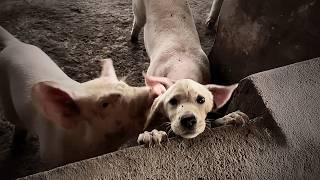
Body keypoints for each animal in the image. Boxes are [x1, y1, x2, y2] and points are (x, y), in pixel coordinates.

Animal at [0, 26, 165, 166]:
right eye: (104, 104)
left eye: (125, 85)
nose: (156, 89)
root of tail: (15, 45)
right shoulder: (49, 156)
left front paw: (153, 137)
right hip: (8, 104)